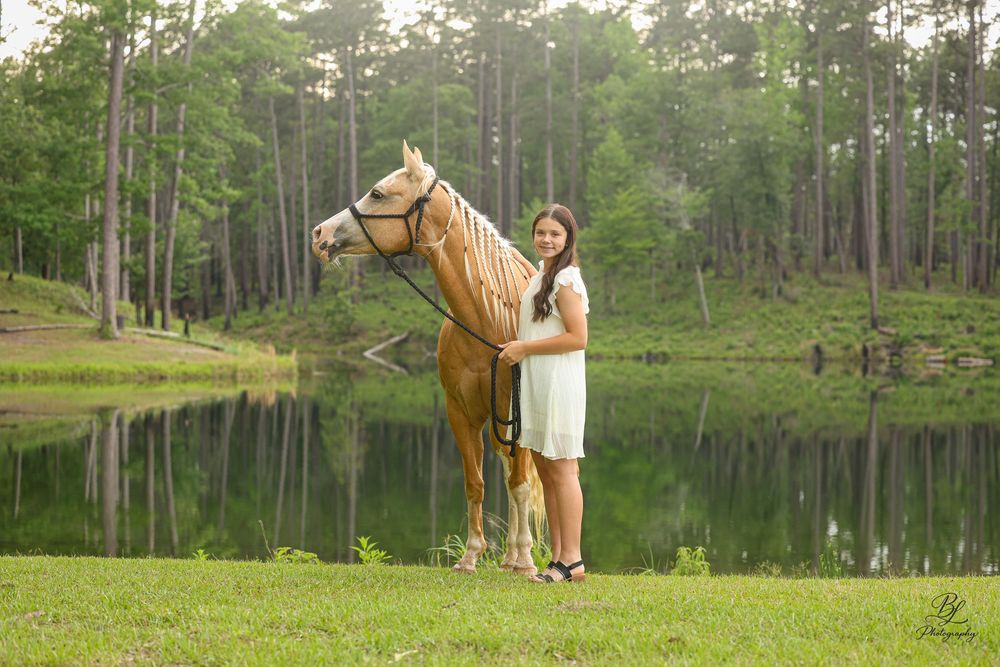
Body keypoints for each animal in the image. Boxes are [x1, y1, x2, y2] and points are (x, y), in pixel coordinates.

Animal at [311, 141, 543, 575]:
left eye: (377, 194)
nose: (320, 234)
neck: (488, 322)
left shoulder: (515, 412)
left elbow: (520, 485)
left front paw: (525, 559)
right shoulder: (461, 414)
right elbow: (476, 483)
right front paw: (472, 555)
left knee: (519, 479)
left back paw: (519, 556)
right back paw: (506, 557)